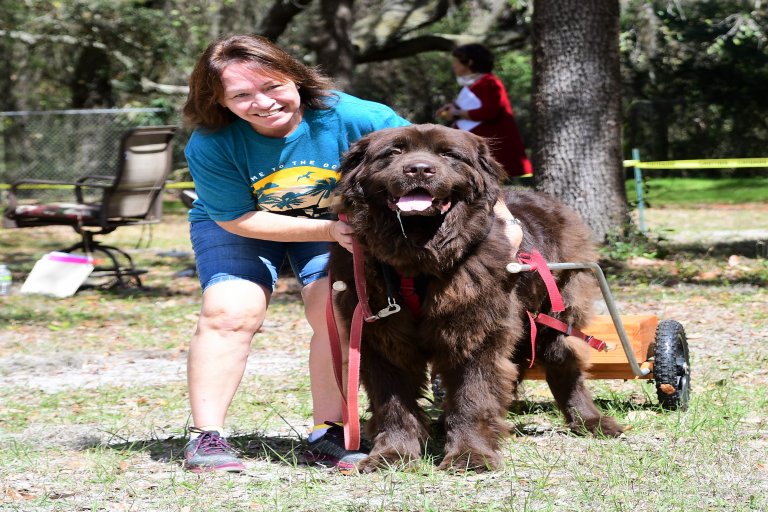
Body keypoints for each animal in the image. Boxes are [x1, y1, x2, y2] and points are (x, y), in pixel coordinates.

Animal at [327, 124, 623, 472]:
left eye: (448, 154)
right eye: (394, 152)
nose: (419, 169)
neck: (419, 260)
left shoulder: (475, 331)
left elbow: (474, 395)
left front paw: (470, 455)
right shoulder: (380, 338)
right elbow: (393, 402)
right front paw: (392, 455)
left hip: (556, 315)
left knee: (564, 363)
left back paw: (592, 422)